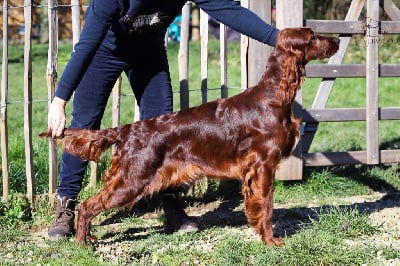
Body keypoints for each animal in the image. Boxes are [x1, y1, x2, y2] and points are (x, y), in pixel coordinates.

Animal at [40, 28, 340, 246]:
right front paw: (271, 241)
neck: (272, 97)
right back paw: (82, 242)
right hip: (131, 180)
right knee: (86, 206)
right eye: (312, 37)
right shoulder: (263, 166)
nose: (337, 40)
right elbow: (265, 207)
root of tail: (126, 130)